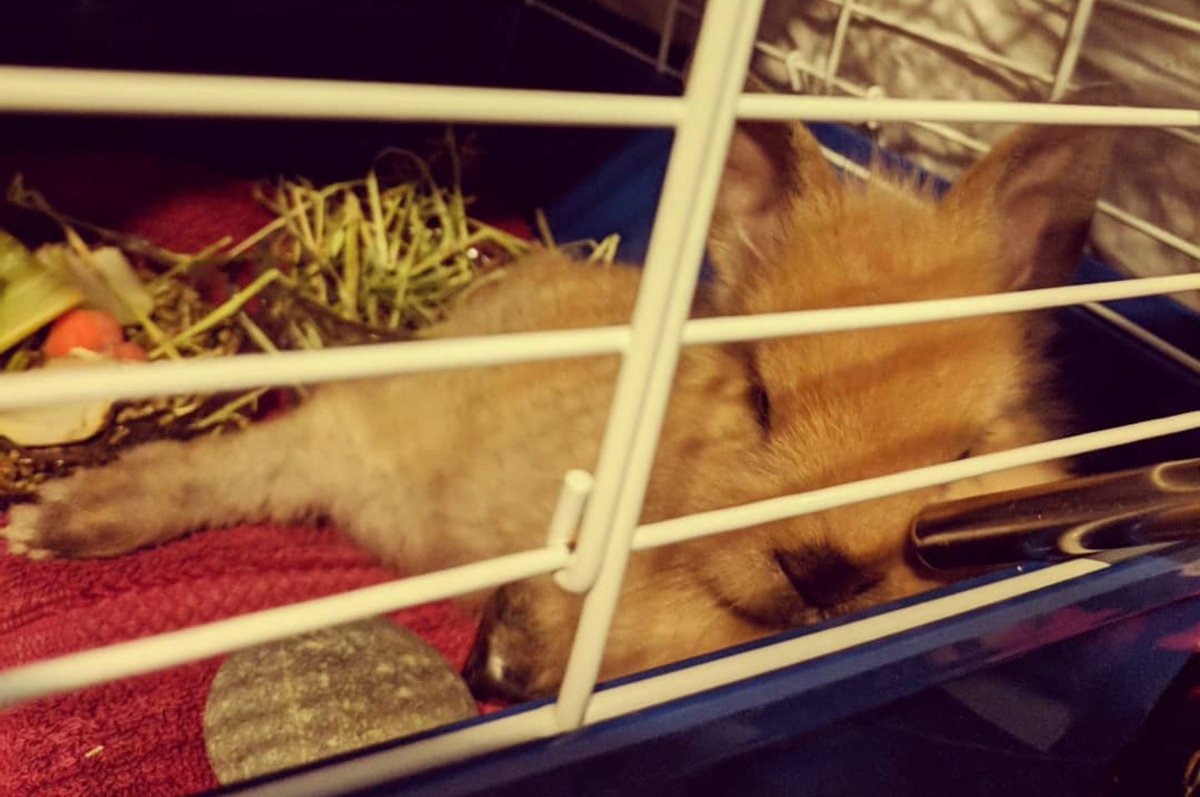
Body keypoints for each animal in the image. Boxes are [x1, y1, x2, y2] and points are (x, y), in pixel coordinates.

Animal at [2, 87, 1116, 702]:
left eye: (968, 450)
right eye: (759, 396)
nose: (824, 569)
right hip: (334, 455)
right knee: (219, 468)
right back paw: (57, 522)